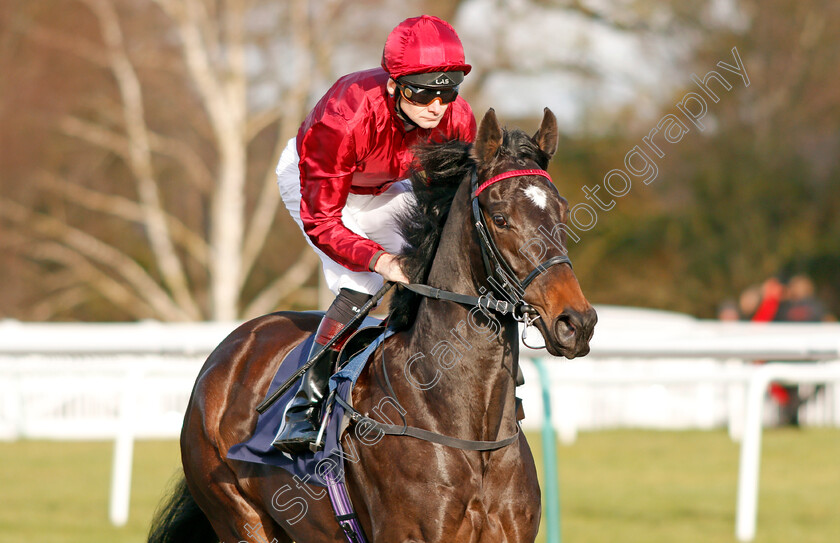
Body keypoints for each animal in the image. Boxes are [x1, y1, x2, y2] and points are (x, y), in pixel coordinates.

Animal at [148, 107, 592, 543]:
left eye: (563, 210)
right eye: (500, 218)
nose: (577, 322)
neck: (469, 432)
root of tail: (230, 348)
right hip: (238, 518)